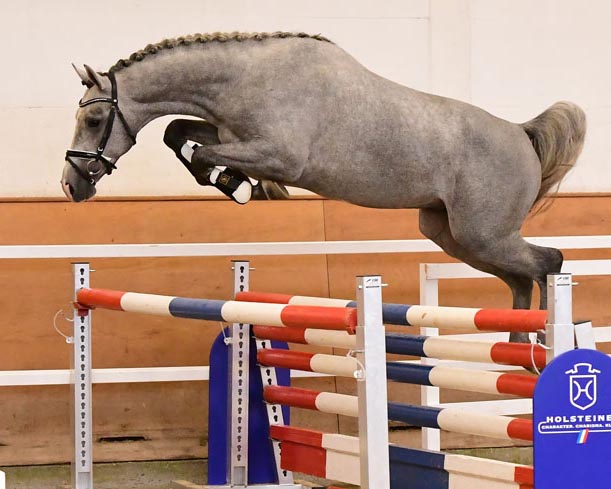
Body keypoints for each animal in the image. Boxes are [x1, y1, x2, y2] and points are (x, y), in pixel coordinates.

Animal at [62, 32, 588, 344]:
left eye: (94, 119)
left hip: (484, 234)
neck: (247, 79)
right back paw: (517, 347)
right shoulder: (231, 134)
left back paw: (545, 345)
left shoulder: (278, 153)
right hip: (452, 234)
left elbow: (205, 153)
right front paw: (239, 185)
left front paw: (242, 187)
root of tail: (521, 133)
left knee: (548, 263)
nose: (70, 186)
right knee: (520, 278)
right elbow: (178, 133)